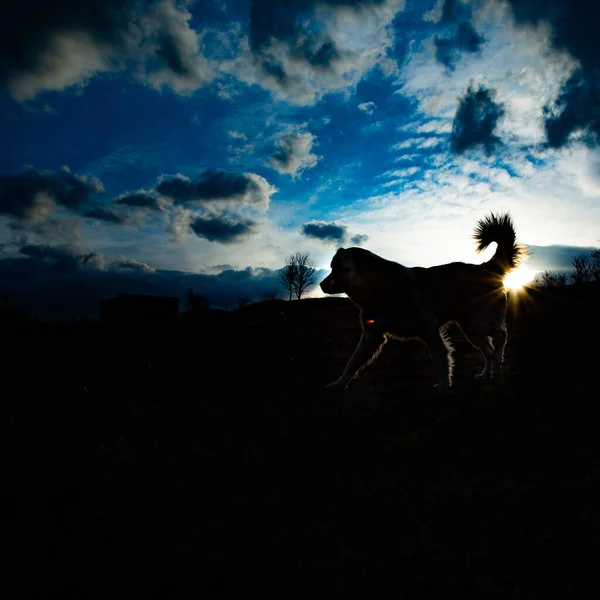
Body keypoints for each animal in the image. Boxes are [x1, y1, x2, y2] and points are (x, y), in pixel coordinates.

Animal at [318, 212, 524, 390]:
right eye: (331, 267)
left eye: (341, 268)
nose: (321, 284)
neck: (378, 288)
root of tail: (486, 267)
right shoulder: (371, 336)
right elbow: (352, 363)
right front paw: (339, 384)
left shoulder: (428, 327)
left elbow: (440, 357)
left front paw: (444, 385)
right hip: (471, 328)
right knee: (489, 351)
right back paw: (487, 373)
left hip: (477, 321)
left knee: (501, 335)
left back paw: (497, 358)